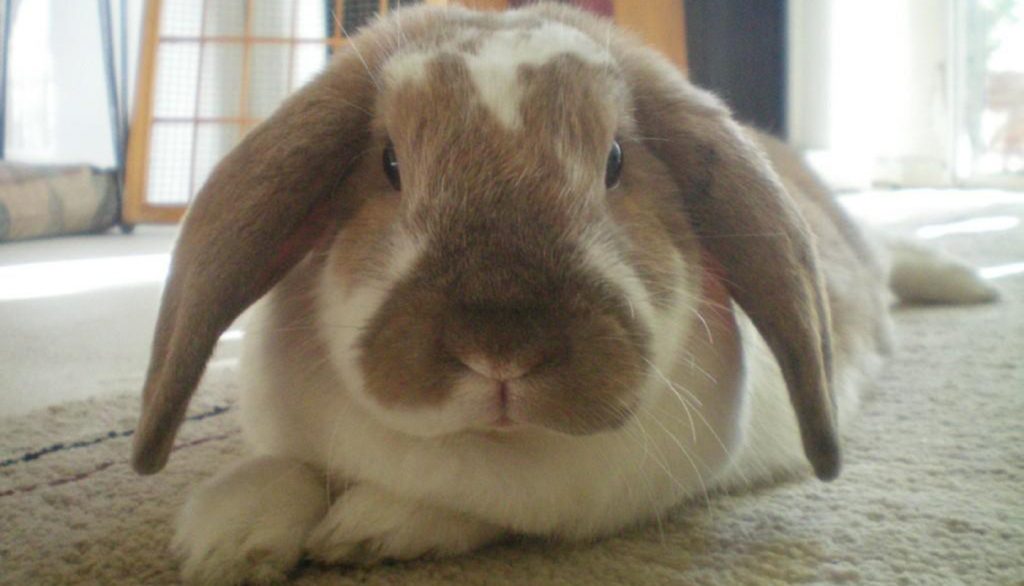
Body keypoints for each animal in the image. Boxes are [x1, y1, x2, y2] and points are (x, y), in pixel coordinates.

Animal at [130, 4, 997, 584]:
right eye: (389, 165)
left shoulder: (593, 487)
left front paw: (369, 526)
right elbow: (282, 467)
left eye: (614, 161)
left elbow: (470, 499)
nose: (501, 346)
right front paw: (226, 540)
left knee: (896, 257)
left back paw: (969, 284)